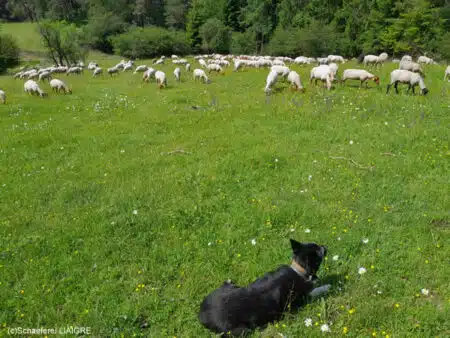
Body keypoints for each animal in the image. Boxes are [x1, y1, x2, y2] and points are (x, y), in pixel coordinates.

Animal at [199, 239, 328, 334]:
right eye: (320, 252)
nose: (325, 245)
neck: (298, 270)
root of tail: (201, 314)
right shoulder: (301, 298)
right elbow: (315, 290)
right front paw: (326, 286)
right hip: (241, 330)